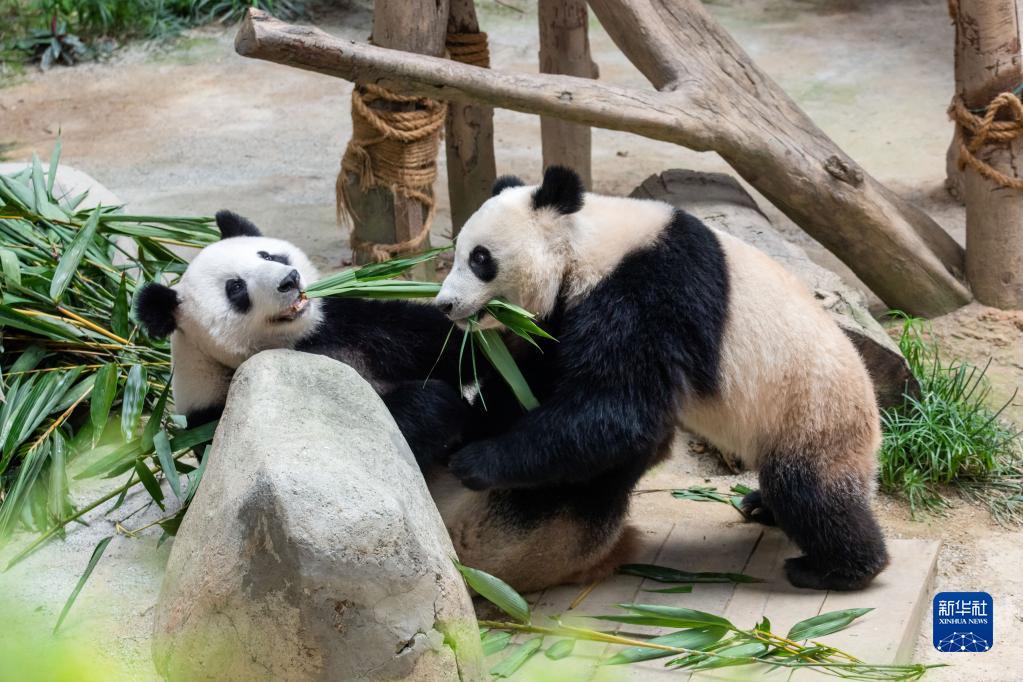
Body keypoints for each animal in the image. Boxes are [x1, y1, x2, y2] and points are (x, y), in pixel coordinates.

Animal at [134, 211, 468, 470]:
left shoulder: (343, 324)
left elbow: (427, 335)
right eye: (236, 287)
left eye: (267, 255)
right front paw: (436, 402)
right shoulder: (217, 414)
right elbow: (366, 433)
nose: (289, 280)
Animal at [435, 166, 892, 593]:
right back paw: (763, 507)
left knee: (809, 493)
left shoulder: (650, 292)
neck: (586, 246)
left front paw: (475, 461)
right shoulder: (567, 314)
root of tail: (875, 418)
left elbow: (620, 410)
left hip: (812, 415)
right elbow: (541, 379)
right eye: (458, 252)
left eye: (480, 258)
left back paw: (839, 569)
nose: (444, 305)